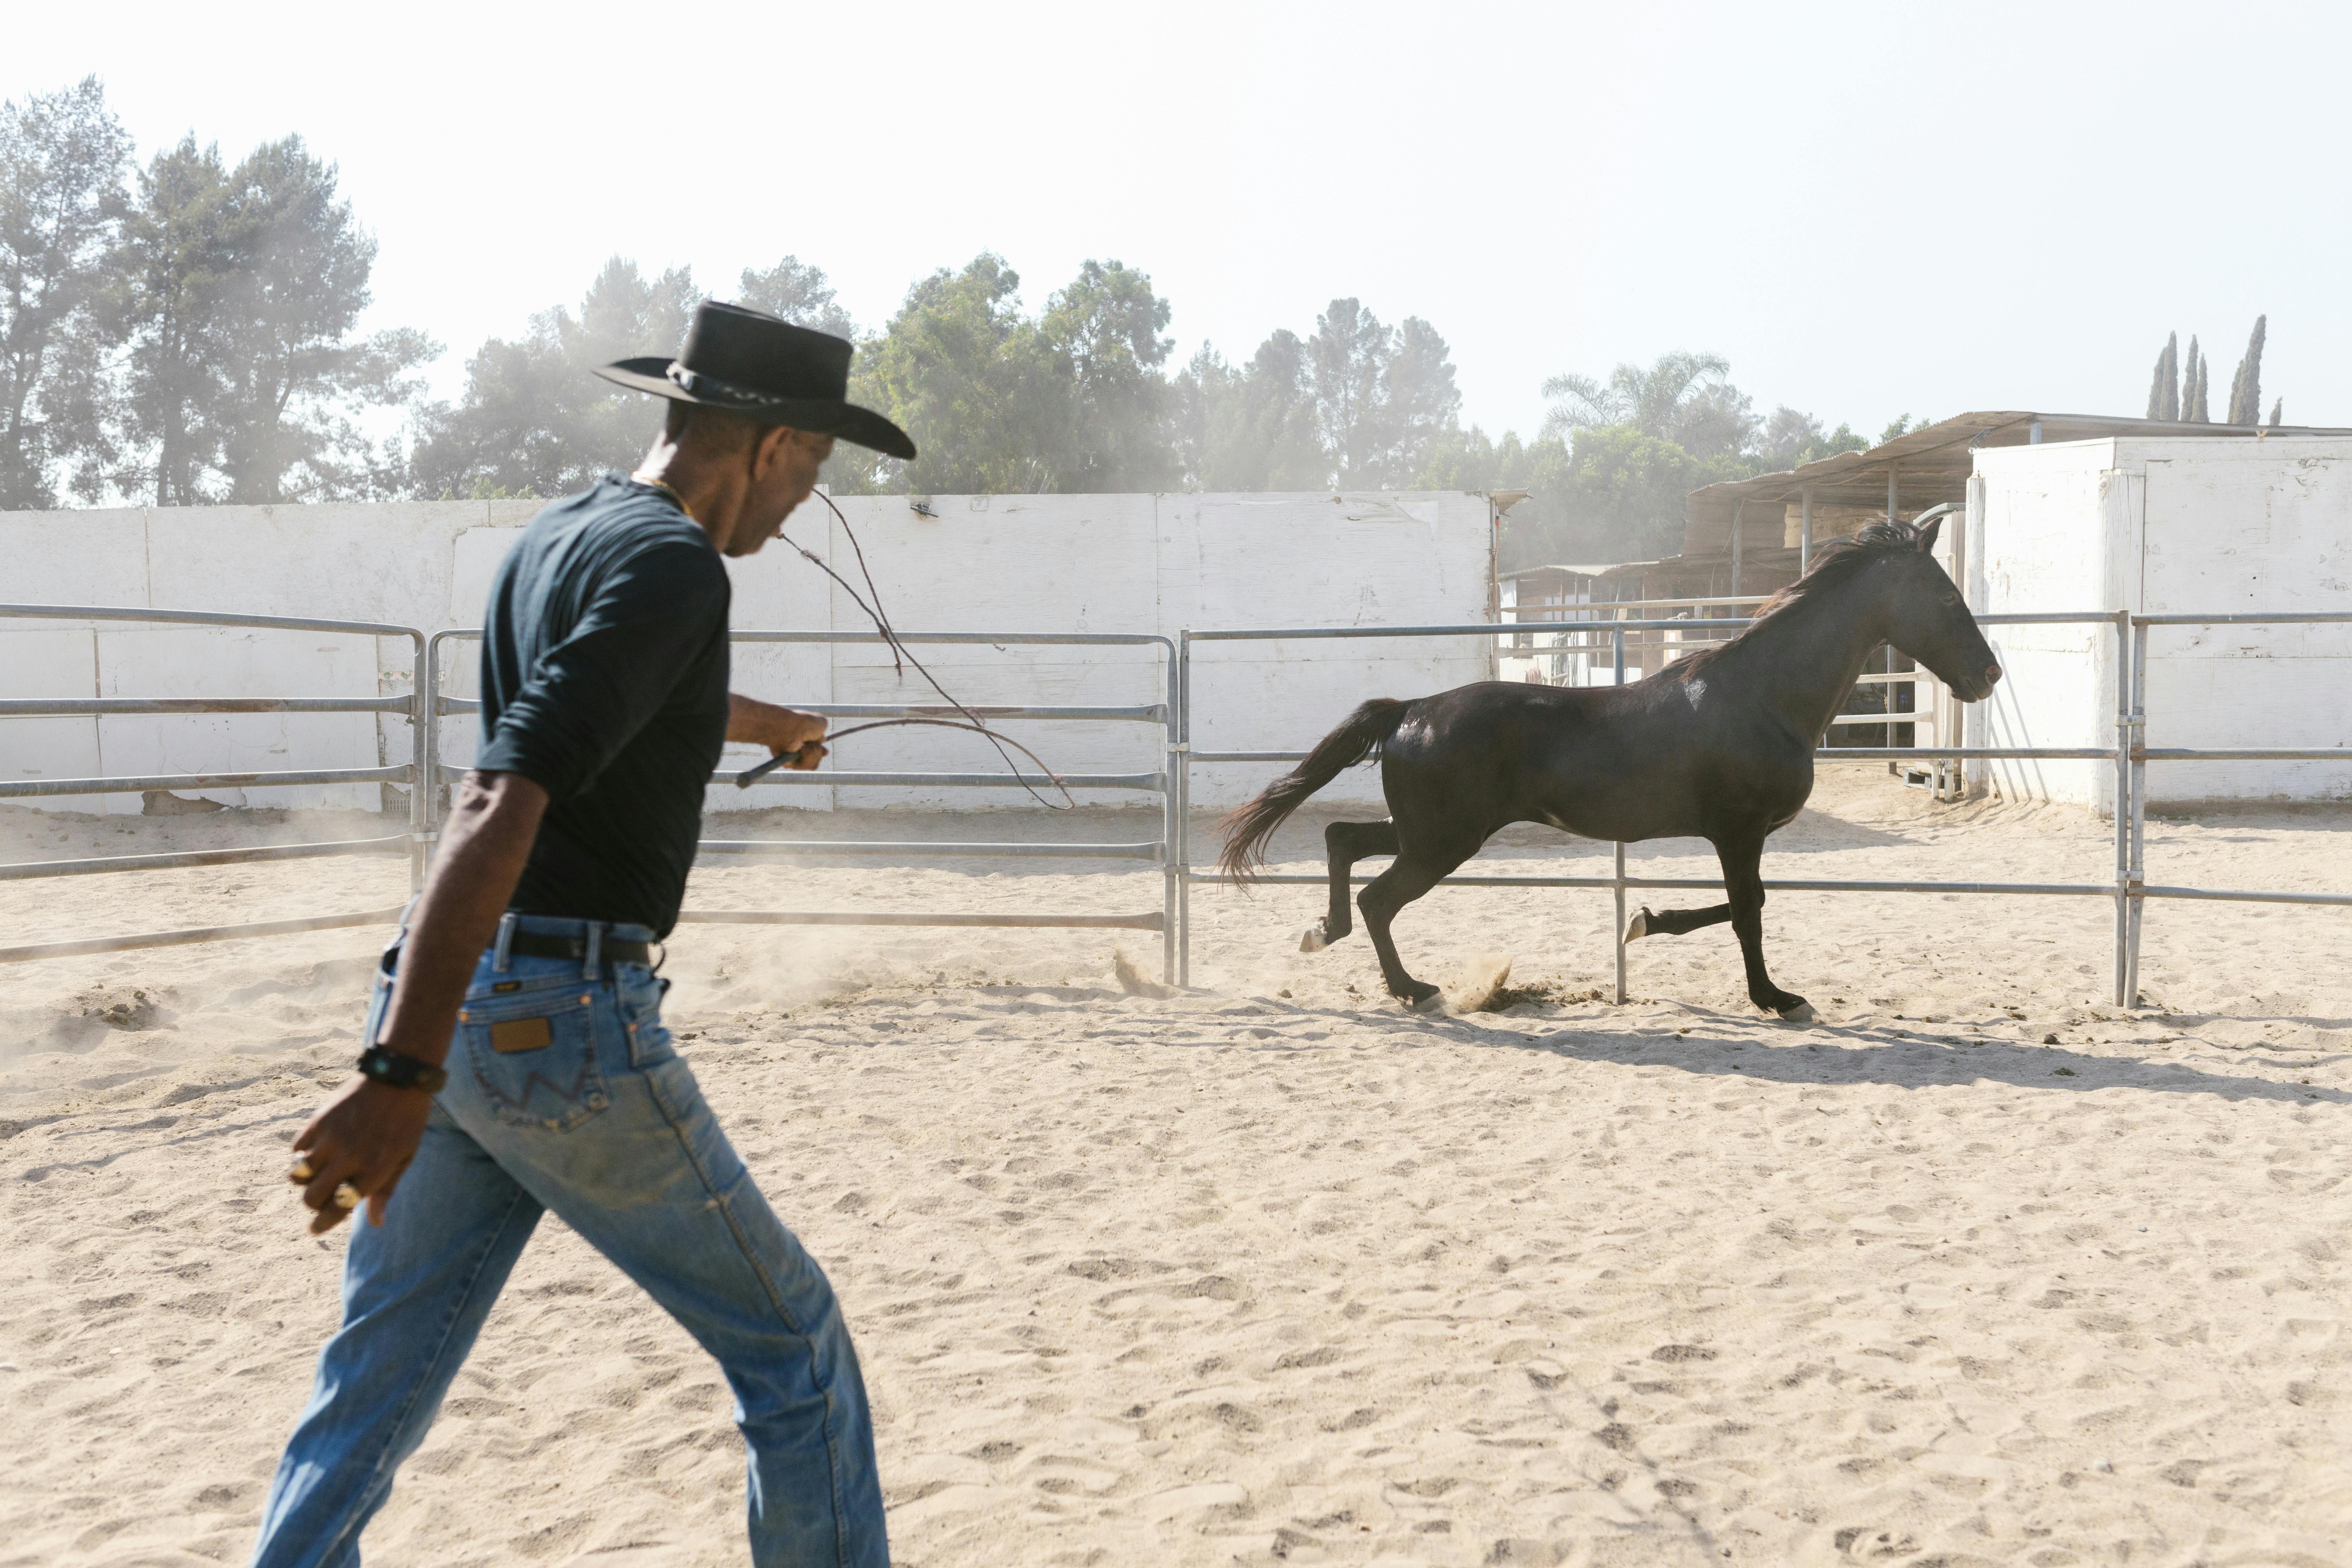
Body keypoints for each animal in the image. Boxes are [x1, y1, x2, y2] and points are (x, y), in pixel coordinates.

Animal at [1213, 522, 2004, 1020]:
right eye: (1944, 594)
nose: (1989, 674)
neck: (1765, 697)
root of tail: (1411, 710)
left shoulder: (1733, 834)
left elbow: (1739, 905)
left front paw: (1643, 921)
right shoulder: (1739, 830)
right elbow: (1749, 909)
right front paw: (1777, 999)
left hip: (1430, 831)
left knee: (1344, 840)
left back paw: (1325, 932)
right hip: (1444, 841)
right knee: (1379, 896)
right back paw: (1415, 990)